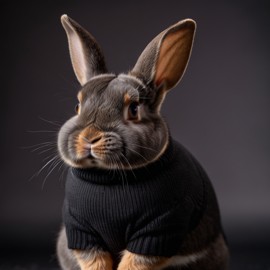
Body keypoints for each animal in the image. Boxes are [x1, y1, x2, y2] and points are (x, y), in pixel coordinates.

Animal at [56, 14, 229, 270]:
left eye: (134, 109)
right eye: (78, 106)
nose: (89, 137)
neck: (109, 178)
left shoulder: (158, 230)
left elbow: (134, 262)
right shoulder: (82, 232)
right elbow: (95, 261)